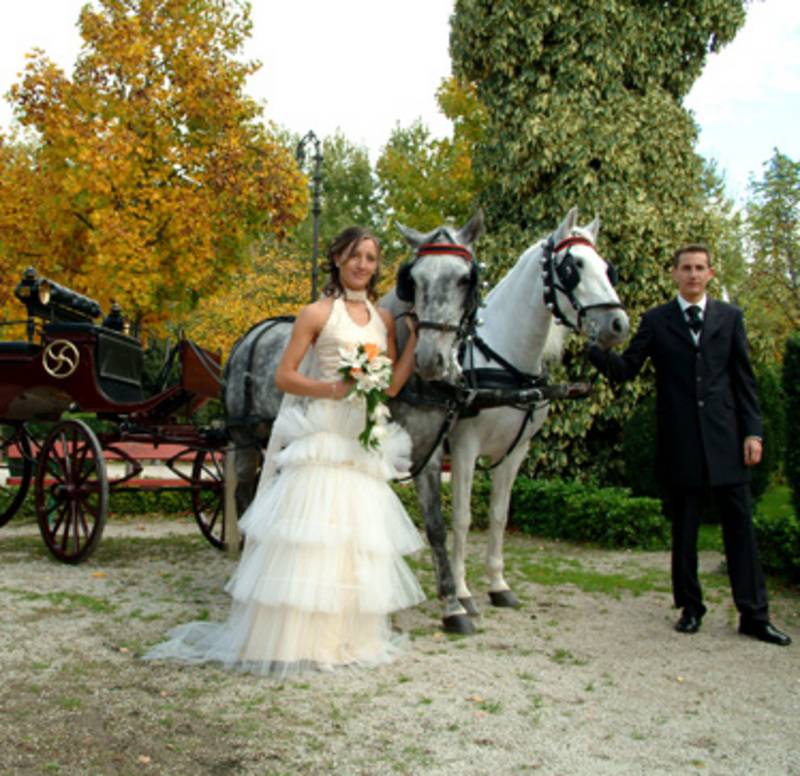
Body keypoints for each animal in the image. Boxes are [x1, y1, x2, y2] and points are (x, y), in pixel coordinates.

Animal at [222, 214, 484, 636]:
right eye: (415, 280)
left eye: (465, 279)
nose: (430, 359)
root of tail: (250, 335)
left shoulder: (427, 456)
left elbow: (436, 527)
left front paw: (452, 604)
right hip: (244, 438)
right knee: (246, 494)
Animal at [446, 209, 628, 616]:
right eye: (572, 266)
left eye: (606, 268)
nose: (618, 324)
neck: (507, 364)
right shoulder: (464, 449)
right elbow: (463, 518)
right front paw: (462, 591)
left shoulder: (516, 452)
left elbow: (499, 515)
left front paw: (498, 584)